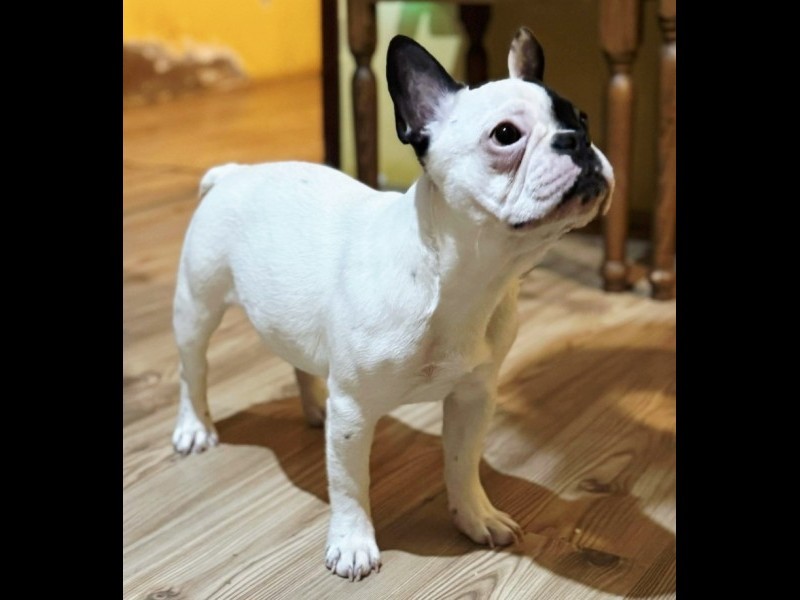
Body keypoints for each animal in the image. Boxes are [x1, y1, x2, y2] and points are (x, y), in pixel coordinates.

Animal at [171, 27, 614, 581]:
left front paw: (474, 515)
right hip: (198, 307)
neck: (464, 280)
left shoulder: (474, 397)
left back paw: (313, 406)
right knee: (193, 371)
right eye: (506, 134)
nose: (578, 140)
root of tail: (234, 173)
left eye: (584, 118)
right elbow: (349, 485)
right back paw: (194, 426)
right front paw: (353, 543)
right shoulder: (355, 413)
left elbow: (463, 463)